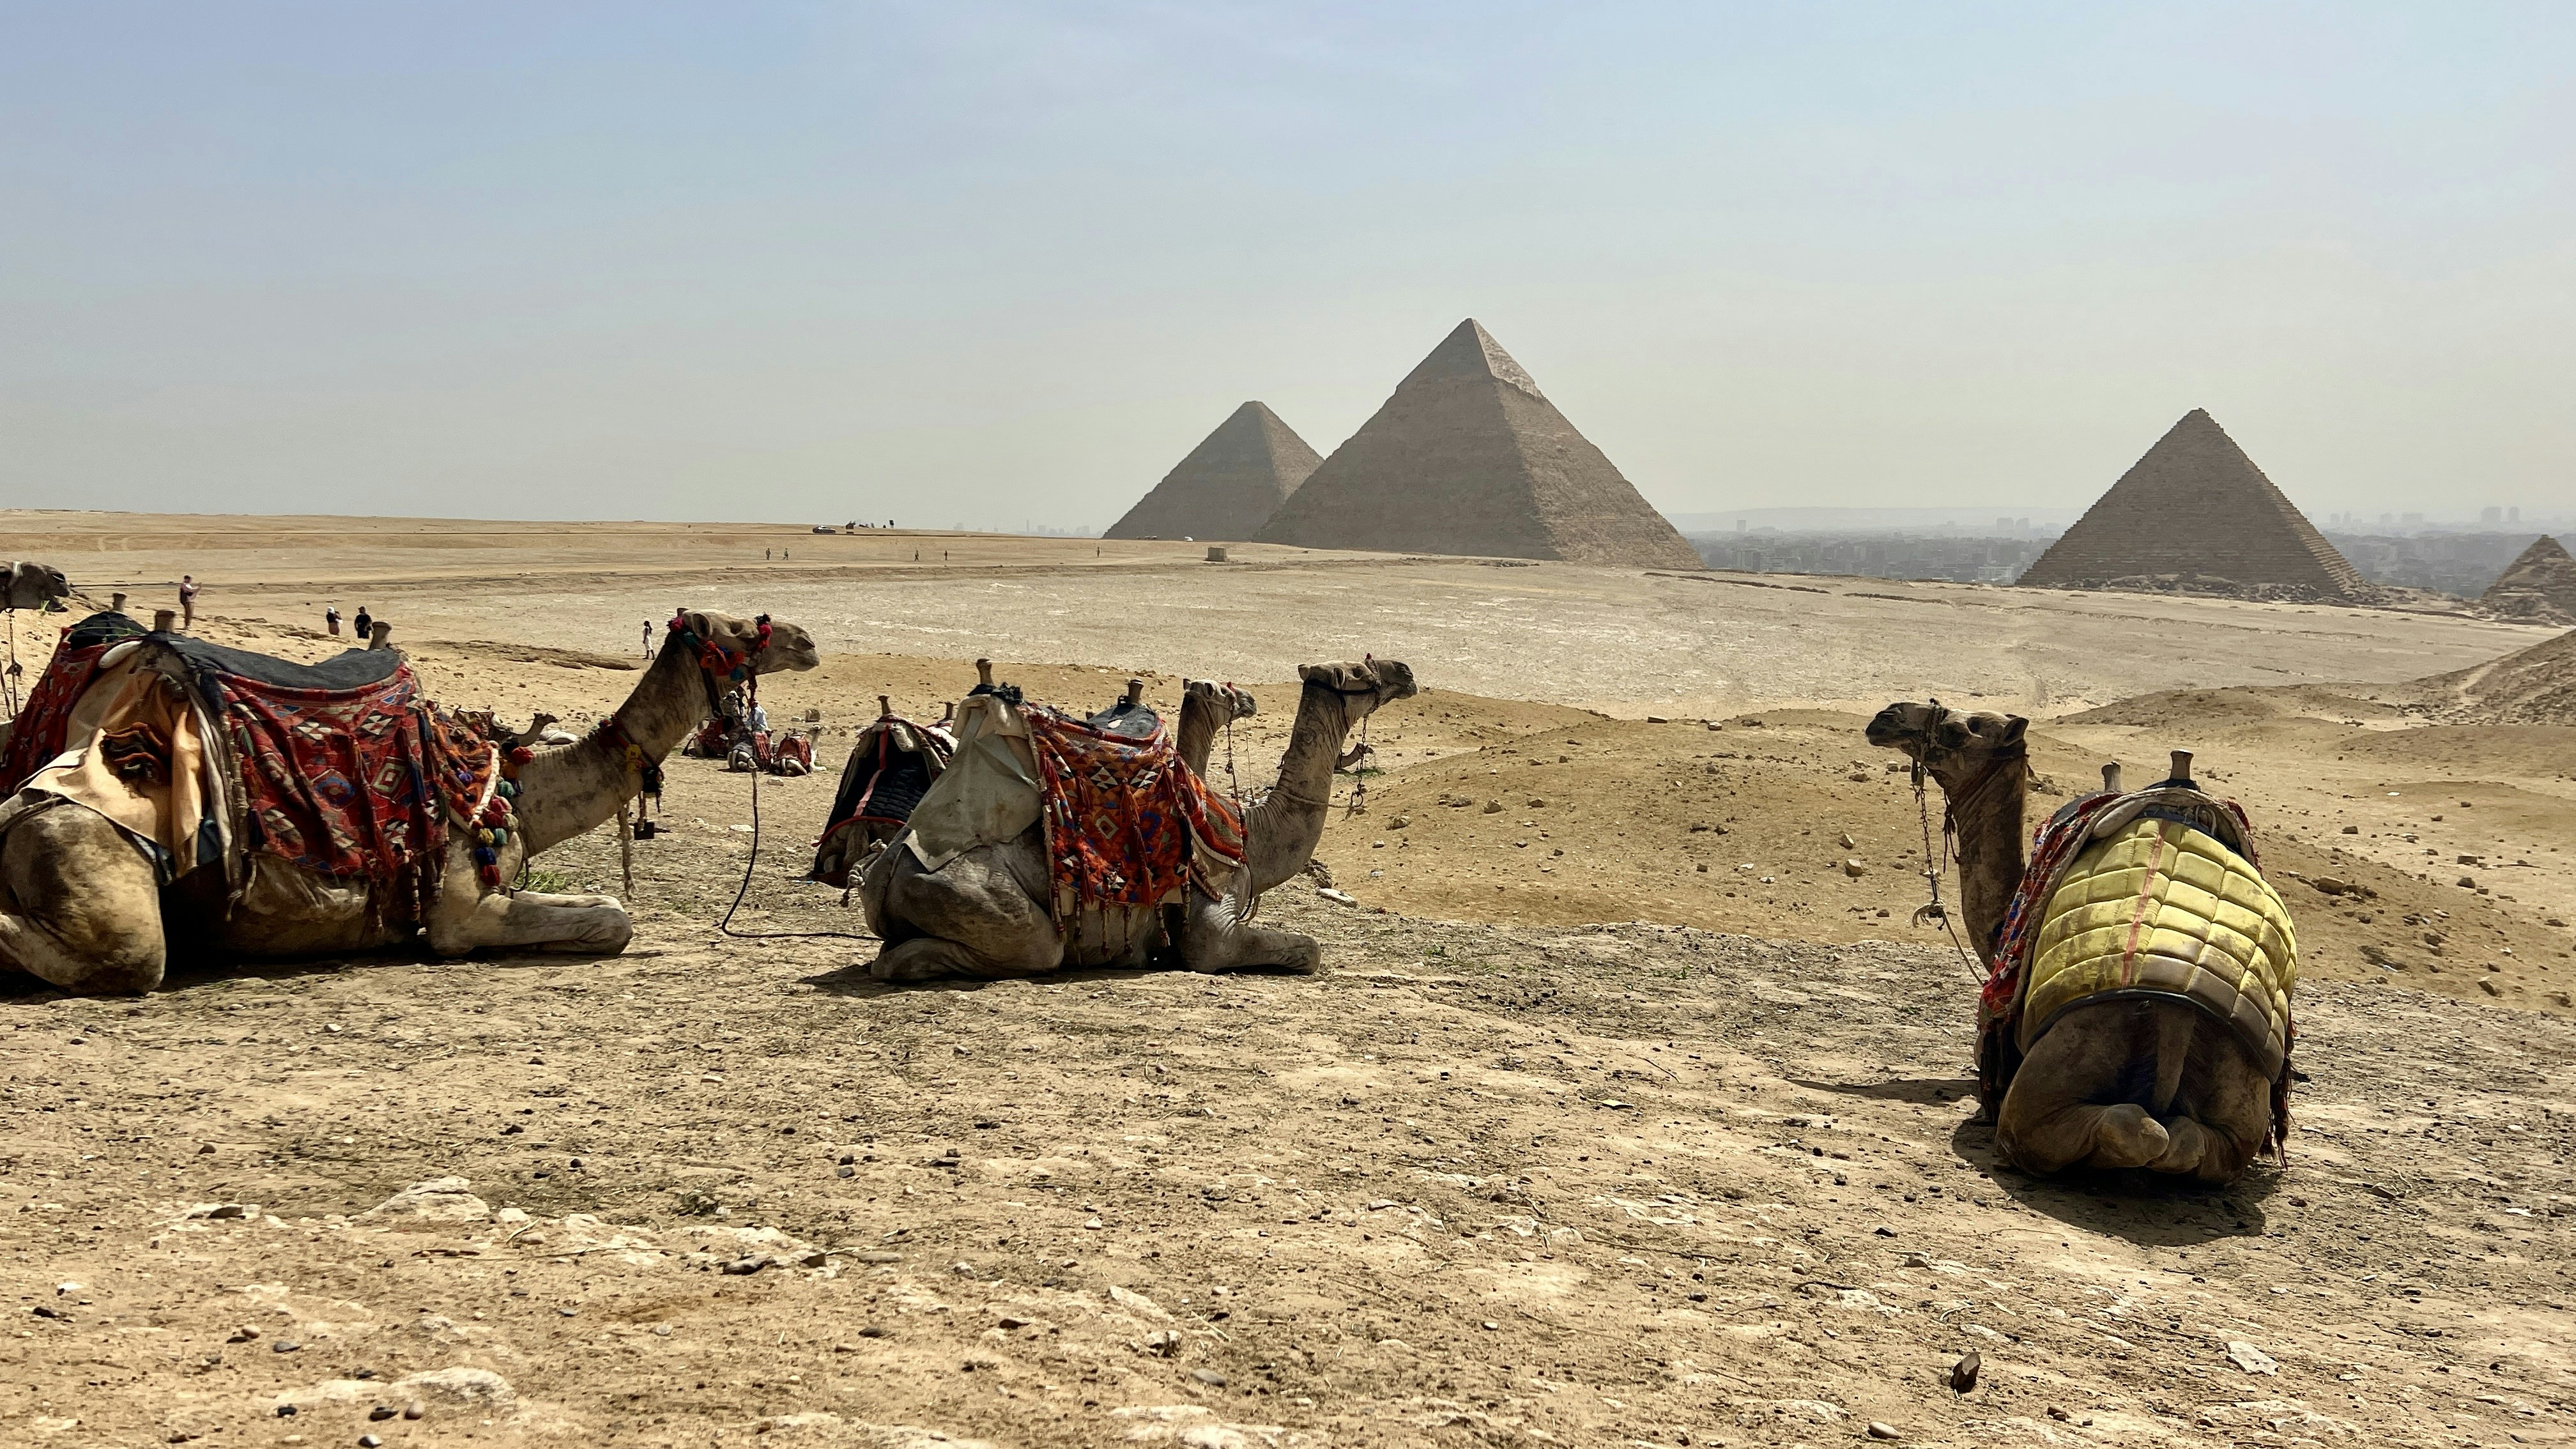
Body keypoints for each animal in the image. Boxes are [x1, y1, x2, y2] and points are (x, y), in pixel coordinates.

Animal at [0, 611, 818, 994]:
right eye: (739, 627)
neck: (517, 789)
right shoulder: (461, 903)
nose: (807, 639)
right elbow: (611, 918)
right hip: (96, 856)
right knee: (127, 954)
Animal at [858, 659, 1413, 981]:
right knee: (1033, 949)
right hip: (978, 903)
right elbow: (1307, 949)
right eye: (1360, 673)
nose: (1406, 671)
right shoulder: (1212, 919)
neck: (1251, 833)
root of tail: (879, 874)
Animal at [1867, 701, 2279, 1184]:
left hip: (2059, 1068)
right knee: (2191, 1141)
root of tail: (2177, 1018)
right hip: (2241, 1099)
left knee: (2117, 1128)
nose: (1886, 717)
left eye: (1961, 729)